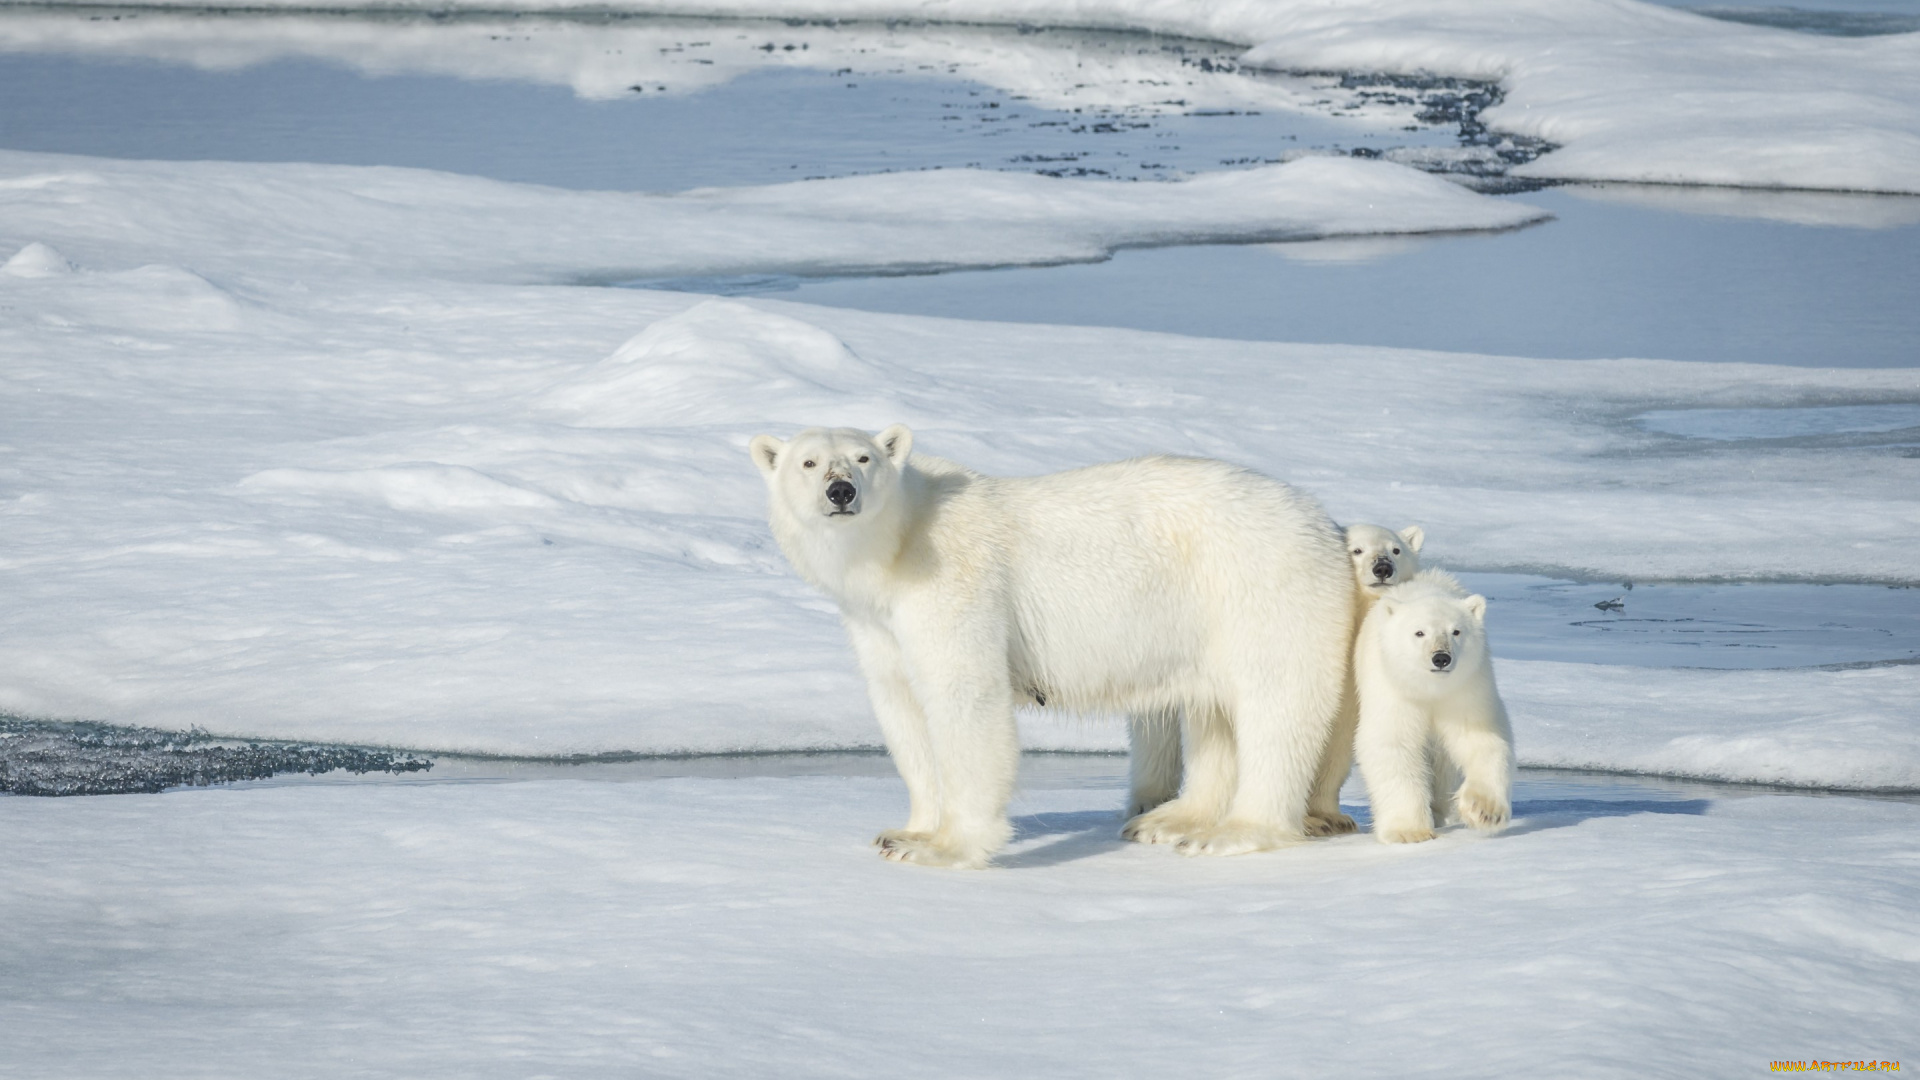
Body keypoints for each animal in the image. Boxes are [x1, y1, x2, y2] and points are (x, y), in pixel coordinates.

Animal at [748, 422, 1351, 864]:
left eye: (864, 458)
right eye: (808, 463)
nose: (840, 490)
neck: (897, 546)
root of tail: (1322, 521)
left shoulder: (953, 582)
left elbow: (965, 697)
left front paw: (946, 848)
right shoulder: (877, 621)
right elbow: (901, 707)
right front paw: (905, 833)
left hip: (1259, 587)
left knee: (1275, 705)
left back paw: (1230, 832)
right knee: (1213, 711)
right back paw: (1171, 819)